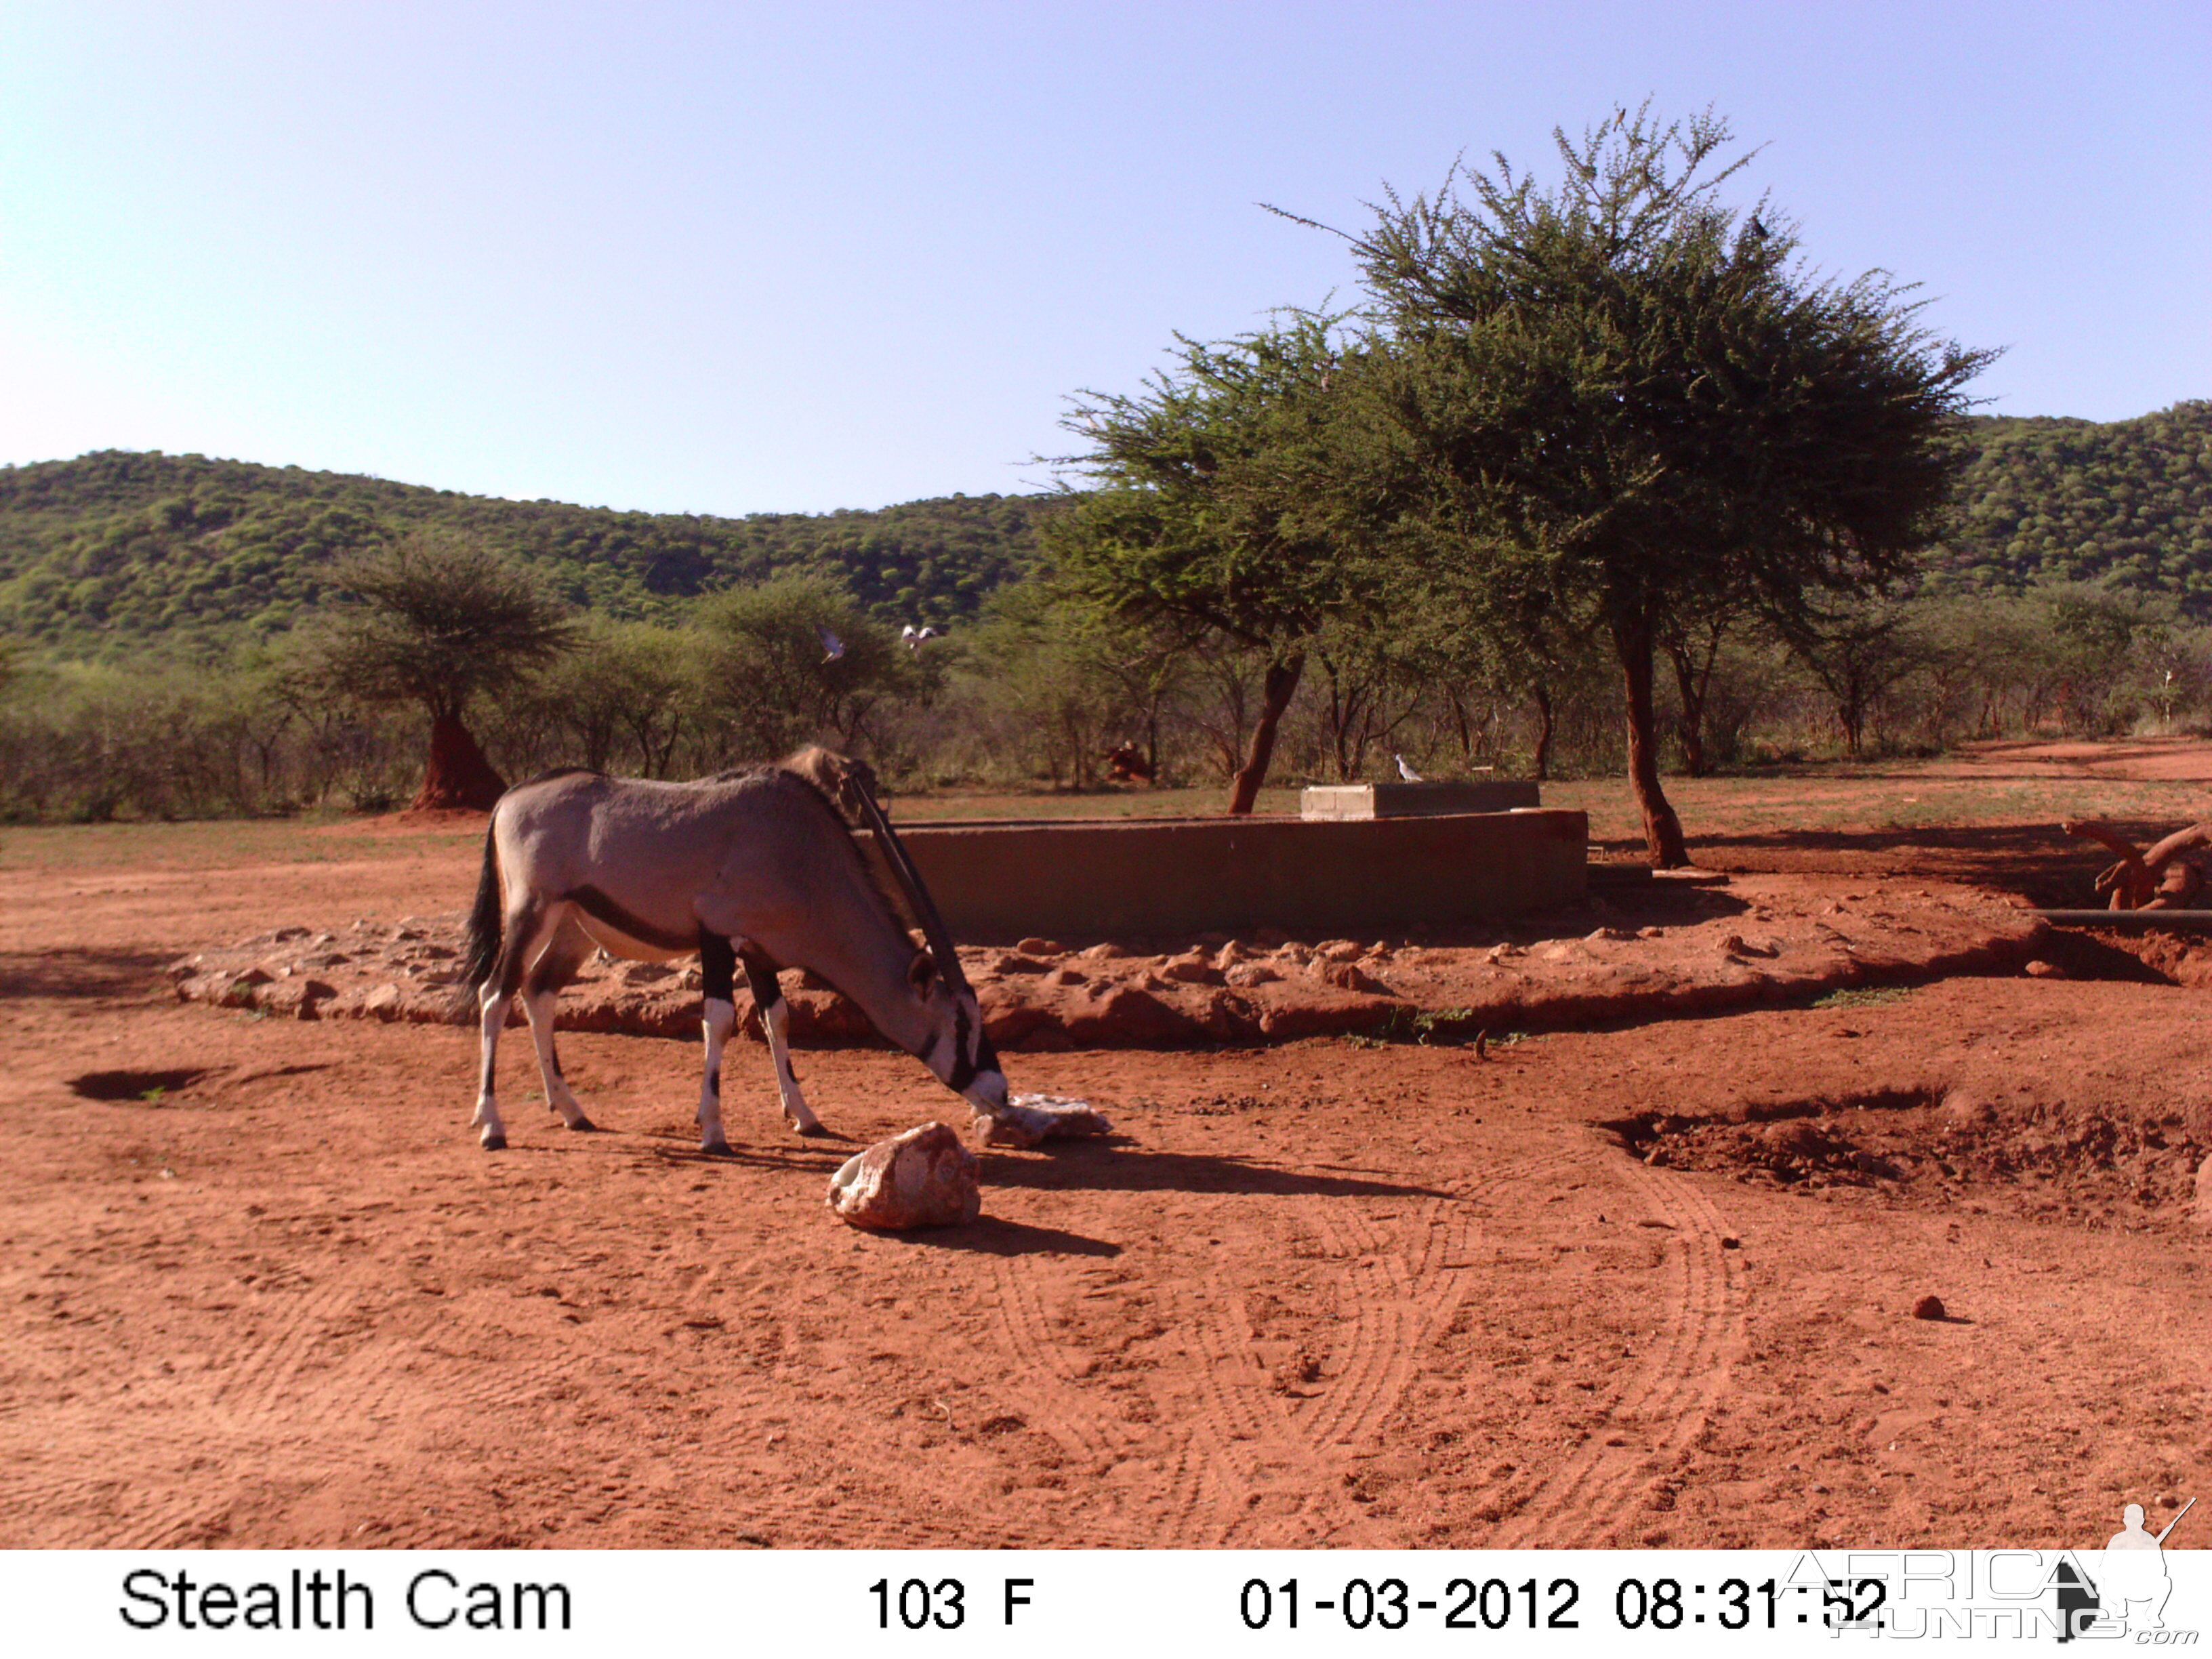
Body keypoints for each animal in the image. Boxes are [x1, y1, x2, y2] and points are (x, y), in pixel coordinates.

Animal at [457, 752, 1012, 1159]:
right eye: (959, 1024)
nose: (1000, 1094)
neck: (800, 852)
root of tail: (511, 797)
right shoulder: (718, 935)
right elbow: (719, 1020)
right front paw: (713, 1129)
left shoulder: (758, 949)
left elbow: (778, 1019)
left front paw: (804, 1116)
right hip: (531, 911)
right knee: (495, 995)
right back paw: (492, 1125)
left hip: (573, 928)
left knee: (538, 993)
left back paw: (572, 1110)